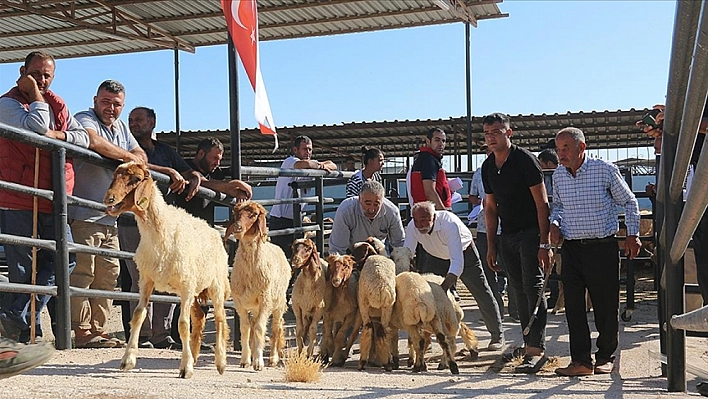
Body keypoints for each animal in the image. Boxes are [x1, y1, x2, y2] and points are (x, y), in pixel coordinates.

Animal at [103, 162, 230, 378]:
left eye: (136, 179)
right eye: (114, 176)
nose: (109, 198)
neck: (160, 228)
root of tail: (214, 230)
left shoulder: (186, 286)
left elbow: (183, 324)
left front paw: (185, 368)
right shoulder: (146, 280)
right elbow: (138, 315)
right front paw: (128, 360)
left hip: (215, 284)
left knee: (220, 318)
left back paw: (220, 362)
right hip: (196, 290)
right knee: (200, 317)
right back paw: (195, 356)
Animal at [227, 202, 294, 370]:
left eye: (254, 215)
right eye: (236, 213)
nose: (237, 227)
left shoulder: (265, 301)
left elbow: (259, 328)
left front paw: (258, 362)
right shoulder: (240, 303)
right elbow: (245, 328)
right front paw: (245, 360)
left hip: (279, 302)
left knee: (276, 327)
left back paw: (273, 358)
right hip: (256, 306)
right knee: (254, 324)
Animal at [356, 242, 396, 374]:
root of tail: (381, 287)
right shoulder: (377, 315)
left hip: (363, 303)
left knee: (368, 329)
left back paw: (362, 362)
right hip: (387, 308)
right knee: (383, 332)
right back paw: (388, 363)